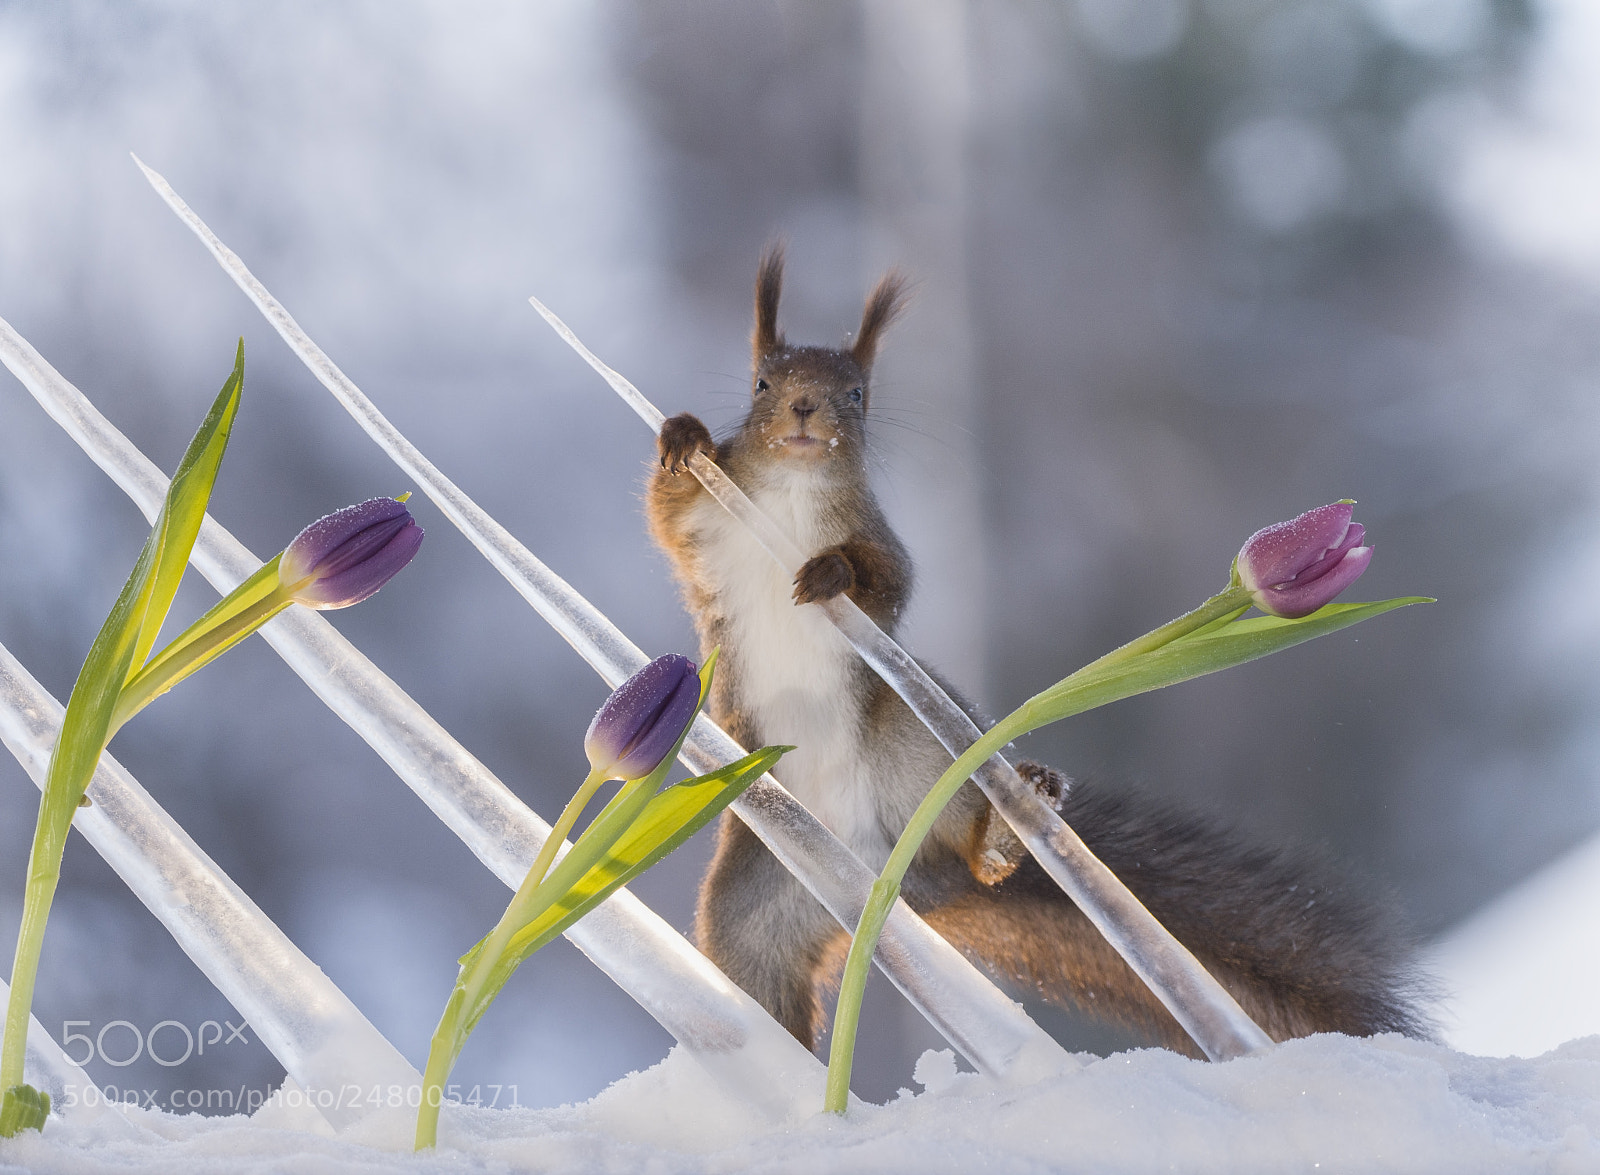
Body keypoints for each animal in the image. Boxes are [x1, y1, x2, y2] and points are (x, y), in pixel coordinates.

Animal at [646, 245, 1433, 1056]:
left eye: (857, 393)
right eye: (763, 383)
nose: (805, 408)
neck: (794, 490)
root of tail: (887, 880)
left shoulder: (874, 535)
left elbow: (887, 580)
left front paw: (831, 573)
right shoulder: (709, 530)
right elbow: (666, 512)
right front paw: (683, 436)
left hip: (920, 752)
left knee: (971, 836)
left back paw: (1003, 829)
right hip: (758, 900)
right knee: (756, 975)